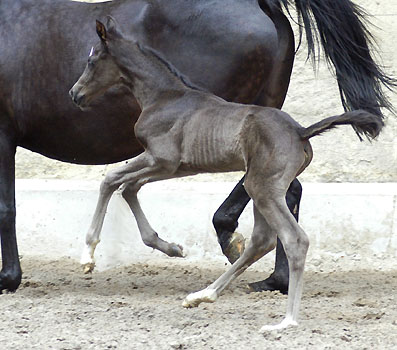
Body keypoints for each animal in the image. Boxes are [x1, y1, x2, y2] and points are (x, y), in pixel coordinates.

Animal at [0, 0, 392, 292]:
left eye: (91, 59)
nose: (74, 94)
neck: (163, 94)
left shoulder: (162, 160)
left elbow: (18, 204)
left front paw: (15, 277)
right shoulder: (160, 161)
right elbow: (124, 187)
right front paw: (169, 246)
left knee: (275, 194)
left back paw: (242, 254)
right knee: (287, 191)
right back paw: (272, 276)